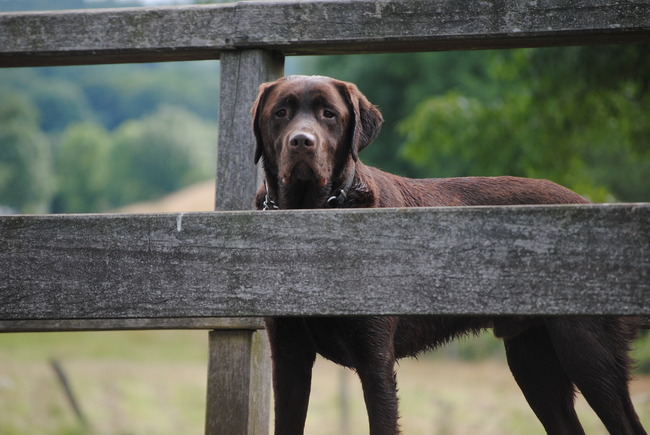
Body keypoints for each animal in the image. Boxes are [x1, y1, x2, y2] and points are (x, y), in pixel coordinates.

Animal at [252, 75, 646, 434]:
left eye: (329, 114)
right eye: (281, 112)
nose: (302, 141)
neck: (315, 214)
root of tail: (590, 205)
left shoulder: (375, 360)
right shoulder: (289, 358)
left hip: (589, 351)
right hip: (533, 359)